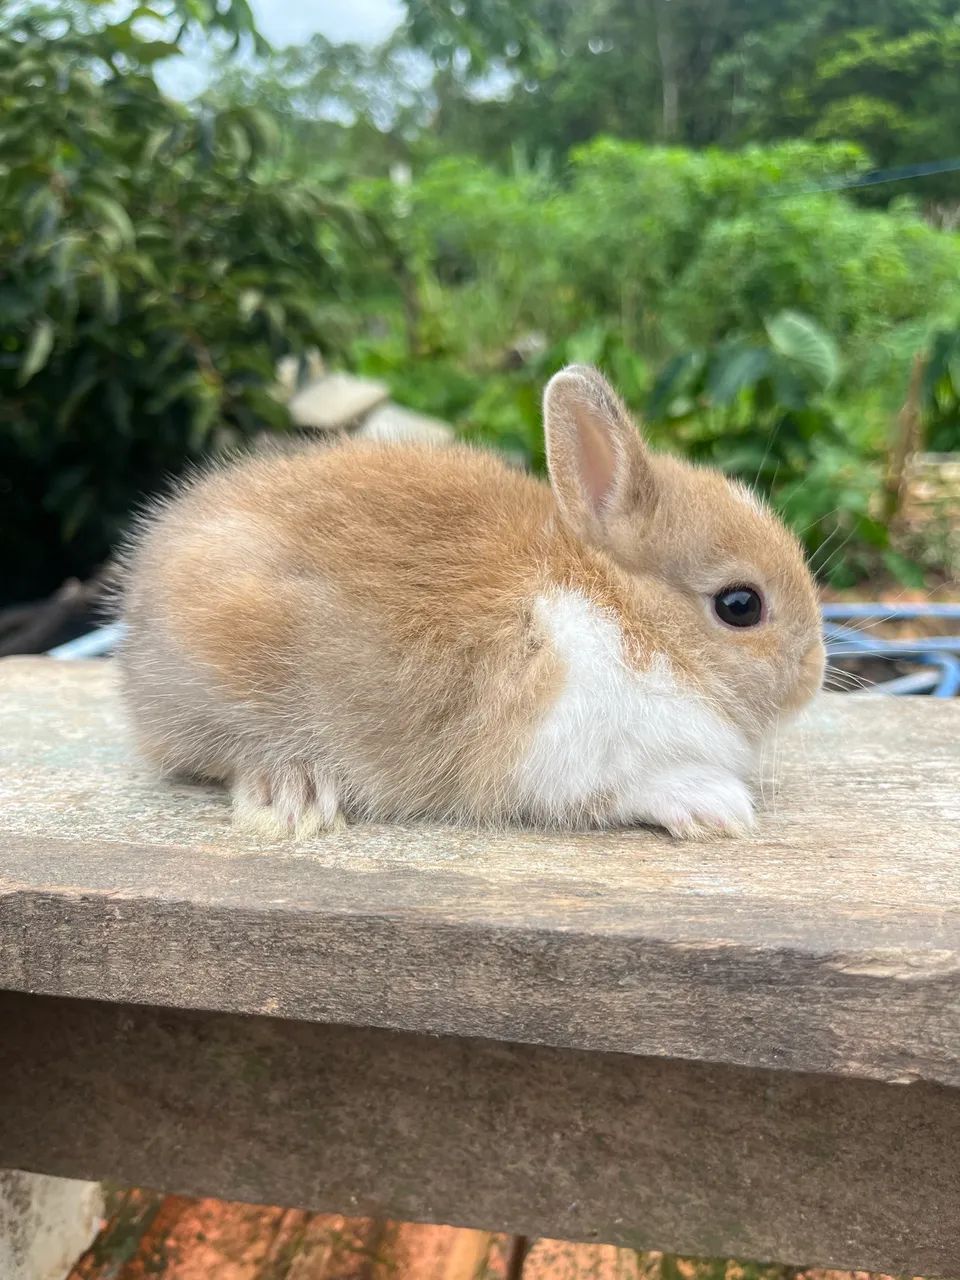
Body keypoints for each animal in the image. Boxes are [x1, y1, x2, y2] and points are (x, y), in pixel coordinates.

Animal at [118, 364, 825, 839]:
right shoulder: (561, 748)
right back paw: (292, 796)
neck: (623, 611)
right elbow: (627, 787)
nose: (813, 677)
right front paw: (718, 807)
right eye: (740, 605)